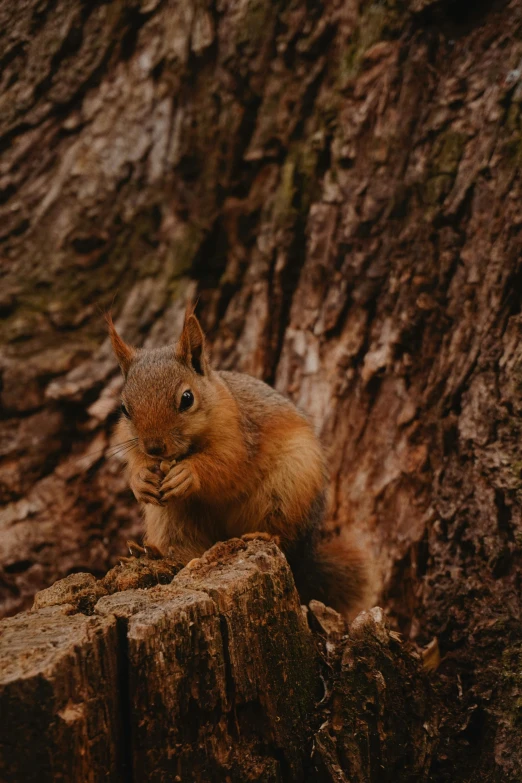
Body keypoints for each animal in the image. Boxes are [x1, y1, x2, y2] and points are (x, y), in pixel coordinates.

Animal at [106, 306, 366, 620]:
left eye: (187, 398)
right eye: (124, 408)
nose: (154, 447)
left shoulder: (239, 438)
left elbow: (227, 466)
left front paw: (188, 474)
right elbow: (135, 464)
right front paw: (140, 480)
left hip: (288, 489)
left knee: (286, 539)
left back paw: (267, 536)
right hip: (171, 517)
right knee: (186, 546)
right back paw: (154, 553)